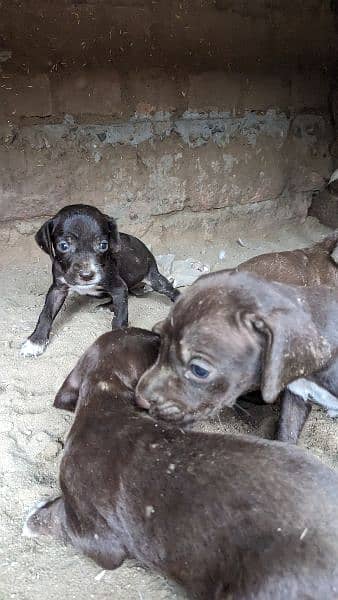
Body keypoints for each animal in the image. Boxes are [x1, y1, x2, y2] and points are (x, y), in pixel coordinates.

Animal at [23, 328, 338, 600]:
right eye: (158, 345)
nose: (158, 330)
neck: (106, 408)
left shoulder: (98, 539)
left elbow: (58, 518)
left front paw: (35, 516)